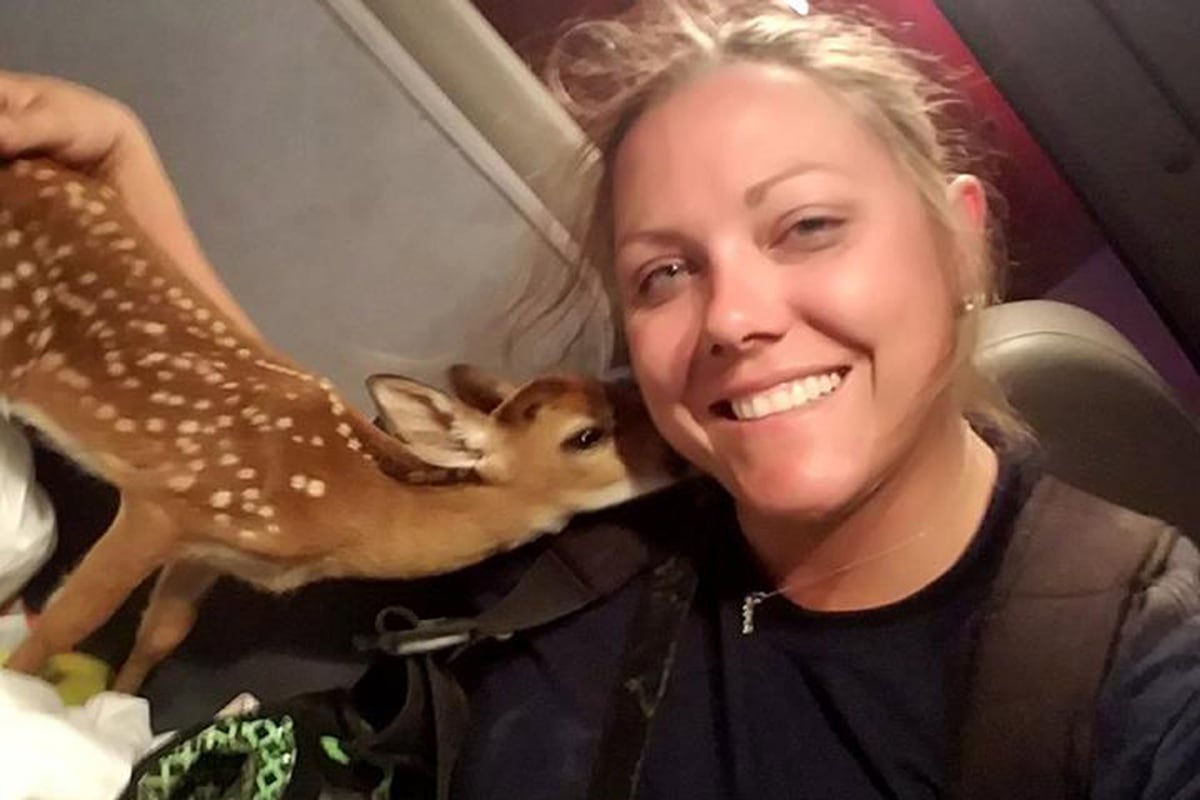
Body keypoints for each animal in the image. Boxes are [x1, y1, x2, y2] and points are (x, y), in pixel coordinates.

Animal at [0, 157, 682, 693]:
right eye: (586, 436)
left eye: (622, 389)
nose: (677, 455)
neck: (340, 506)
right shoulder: (167, 500)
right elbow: (66, 625)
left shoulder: (214, 545)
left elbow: (162, 634)